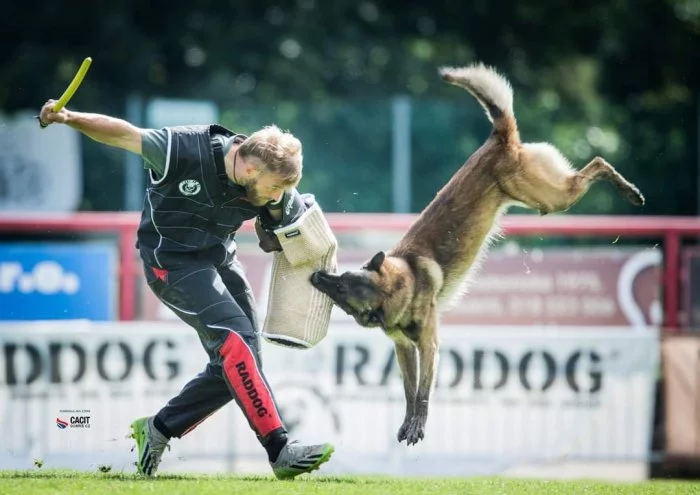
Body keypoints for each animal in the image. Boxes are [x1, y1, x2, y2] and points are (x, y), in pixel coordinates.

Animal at [308, 62, 644, 446]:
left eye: (341, 288)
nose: (317, 276)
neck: (401, 285)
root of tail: (499, 138)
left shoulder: (429, 346)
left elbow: (422, 393)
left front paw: (418, 425)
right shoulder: (404, 349)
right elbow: (408, 390)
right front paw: (407, 423)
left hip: (552, 196)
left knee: (598, 163)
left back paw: (630, 190)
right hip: (544, 194)